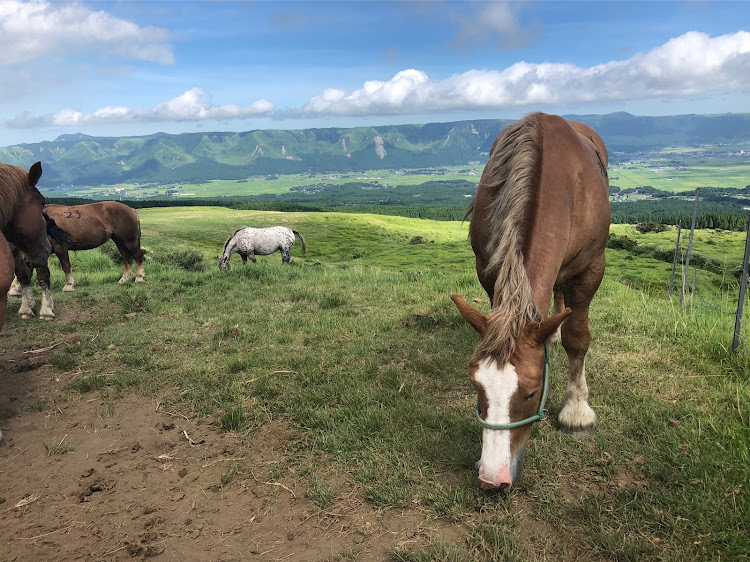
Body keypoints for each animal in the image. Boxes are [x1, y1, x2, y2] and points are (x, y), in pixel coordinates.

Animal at [452, 112, 612, 490]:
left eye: (531, 392)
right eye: (476, 387)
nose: (492, 479)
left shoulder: (591, 268)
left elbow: (578, 338)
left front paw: (577, 411)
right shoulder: (489, 270)